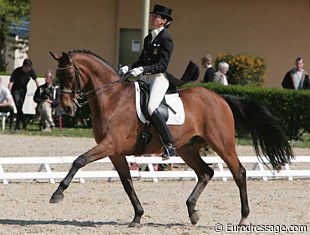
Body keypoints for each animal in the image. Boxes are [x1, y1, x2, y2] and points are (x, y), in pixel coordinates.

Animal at [49, 50, 294, 228]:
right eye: (57, 76)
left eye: (69, 75)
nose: (67, 108)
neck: (112, 98)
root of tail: (220, 98)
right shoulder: (115, 152)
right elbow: (127, 183)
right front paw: (137, 216)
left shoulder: (110, 144)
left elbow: (79, 160)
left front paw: (58, 193)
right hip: (187, 149)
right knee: (206, 172)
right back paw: (193, 212)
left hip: (222, 143)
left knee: (239, 172)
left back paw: (243, 218)